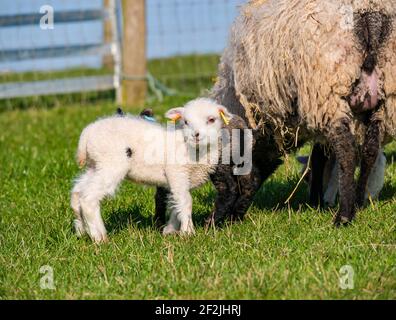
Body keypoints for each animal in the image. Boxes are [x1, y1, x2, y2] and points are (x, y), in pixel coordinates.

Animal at [71, 97, 234, 242]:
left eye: (211, 119)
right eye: (186, 122)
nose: (196, 135)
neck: (190, 148)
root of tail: (87, 133)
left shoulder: (182, 180)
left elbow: (176, 203)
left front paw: (170, 230)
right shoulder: (177, 172)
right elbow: (186, 201)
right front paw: (188, 232)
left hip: (95, 165)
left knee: (77, 192)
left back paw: (81, 230)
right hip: (111, 163)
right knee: (89, 198)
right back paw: (99, 237)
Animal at [212, 0, 394, 225]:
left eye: (226, 179)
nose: (216, 223)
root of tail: (371, 13)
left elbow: (317, 159)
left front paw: (316, 200)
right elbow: (320, 157)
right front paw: (318, 201)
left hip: (327, 91)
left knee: (348, 152)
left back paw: (343, 216)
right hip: (382, 98)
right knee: (370, 151)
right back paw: (358, 202)